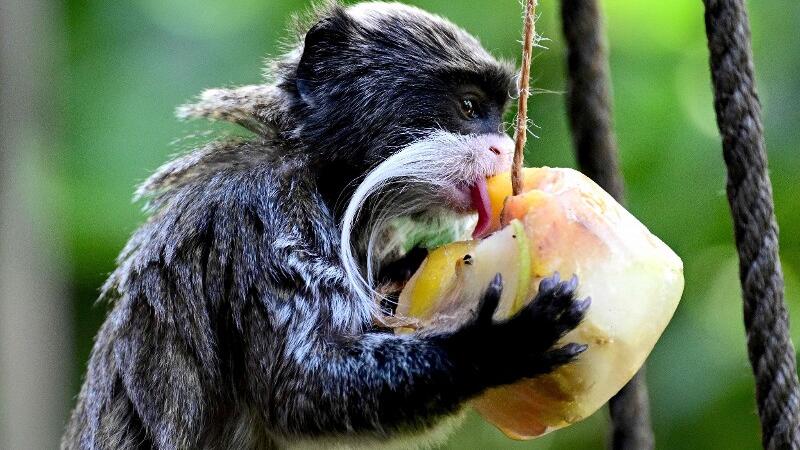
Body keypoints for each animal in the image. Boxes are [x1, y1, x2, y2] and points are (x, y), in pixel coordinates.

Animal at [62, 1, 592, 448]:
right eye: (468, 107)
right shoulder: (260, 220)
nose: (503, 149)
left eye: (499, 116)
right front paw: (496, 346)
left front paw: (409, 269)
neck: (326, 181)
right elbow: (299, 390)